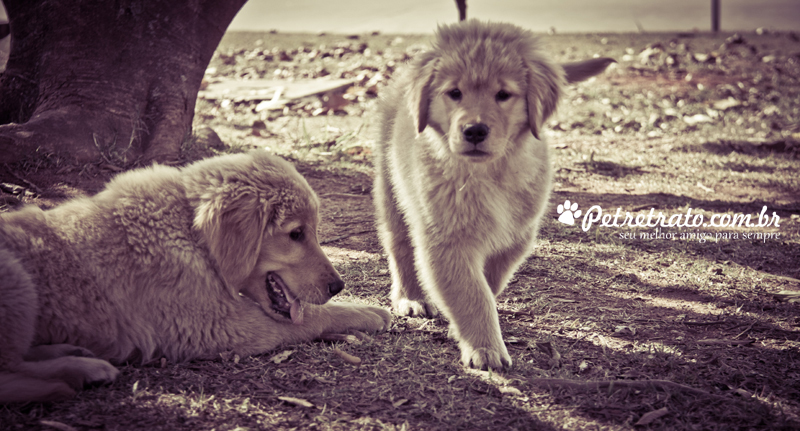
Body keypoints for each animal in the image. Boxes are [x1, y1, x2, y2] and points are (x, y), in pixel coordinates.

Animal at [0, 150, 392, 404]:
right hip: (17, 279)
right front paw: (366, 311)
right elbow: (310, 318)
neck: (189, 230)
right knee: (8, 373)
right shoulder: (220, 328)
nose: (338, 286)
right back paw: (77, 373)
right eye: (296, 234)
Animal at [374, 21, 612, 372]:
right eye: (454, 93)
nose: (474, 130)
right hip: (391, 189)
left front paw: (463, 329)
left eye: (503, 95)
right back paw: (411, 297)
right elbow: (472, 293)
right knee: (399, 243)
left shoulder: (516, 235)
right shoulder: (446, 239)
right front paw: (484, 347)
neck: (488, 174)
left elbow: (490, 281)